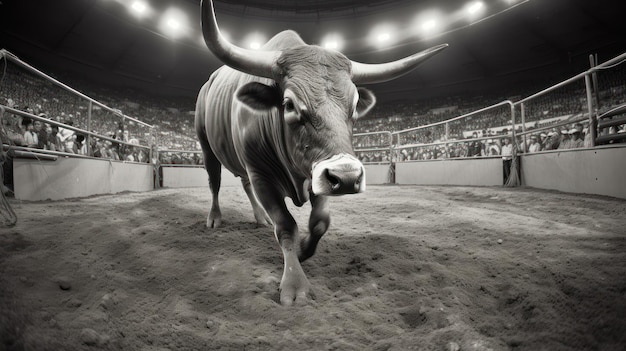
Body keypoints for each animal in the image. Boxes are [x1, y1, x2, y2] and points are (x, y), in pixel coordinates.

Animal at [195, 0, 444, 306]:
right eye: (289, 104)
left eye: (355, 105)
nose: (348, 177)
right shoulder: (261, 174)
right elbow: (286, 225)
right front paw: (294, 284)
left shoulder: (318, 174)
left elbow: (320, 222)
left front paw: (303, 250)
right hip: (206, 144)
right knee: (215, 181)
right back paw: (215, 217)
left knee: (243, 183)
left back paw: (259, 217)